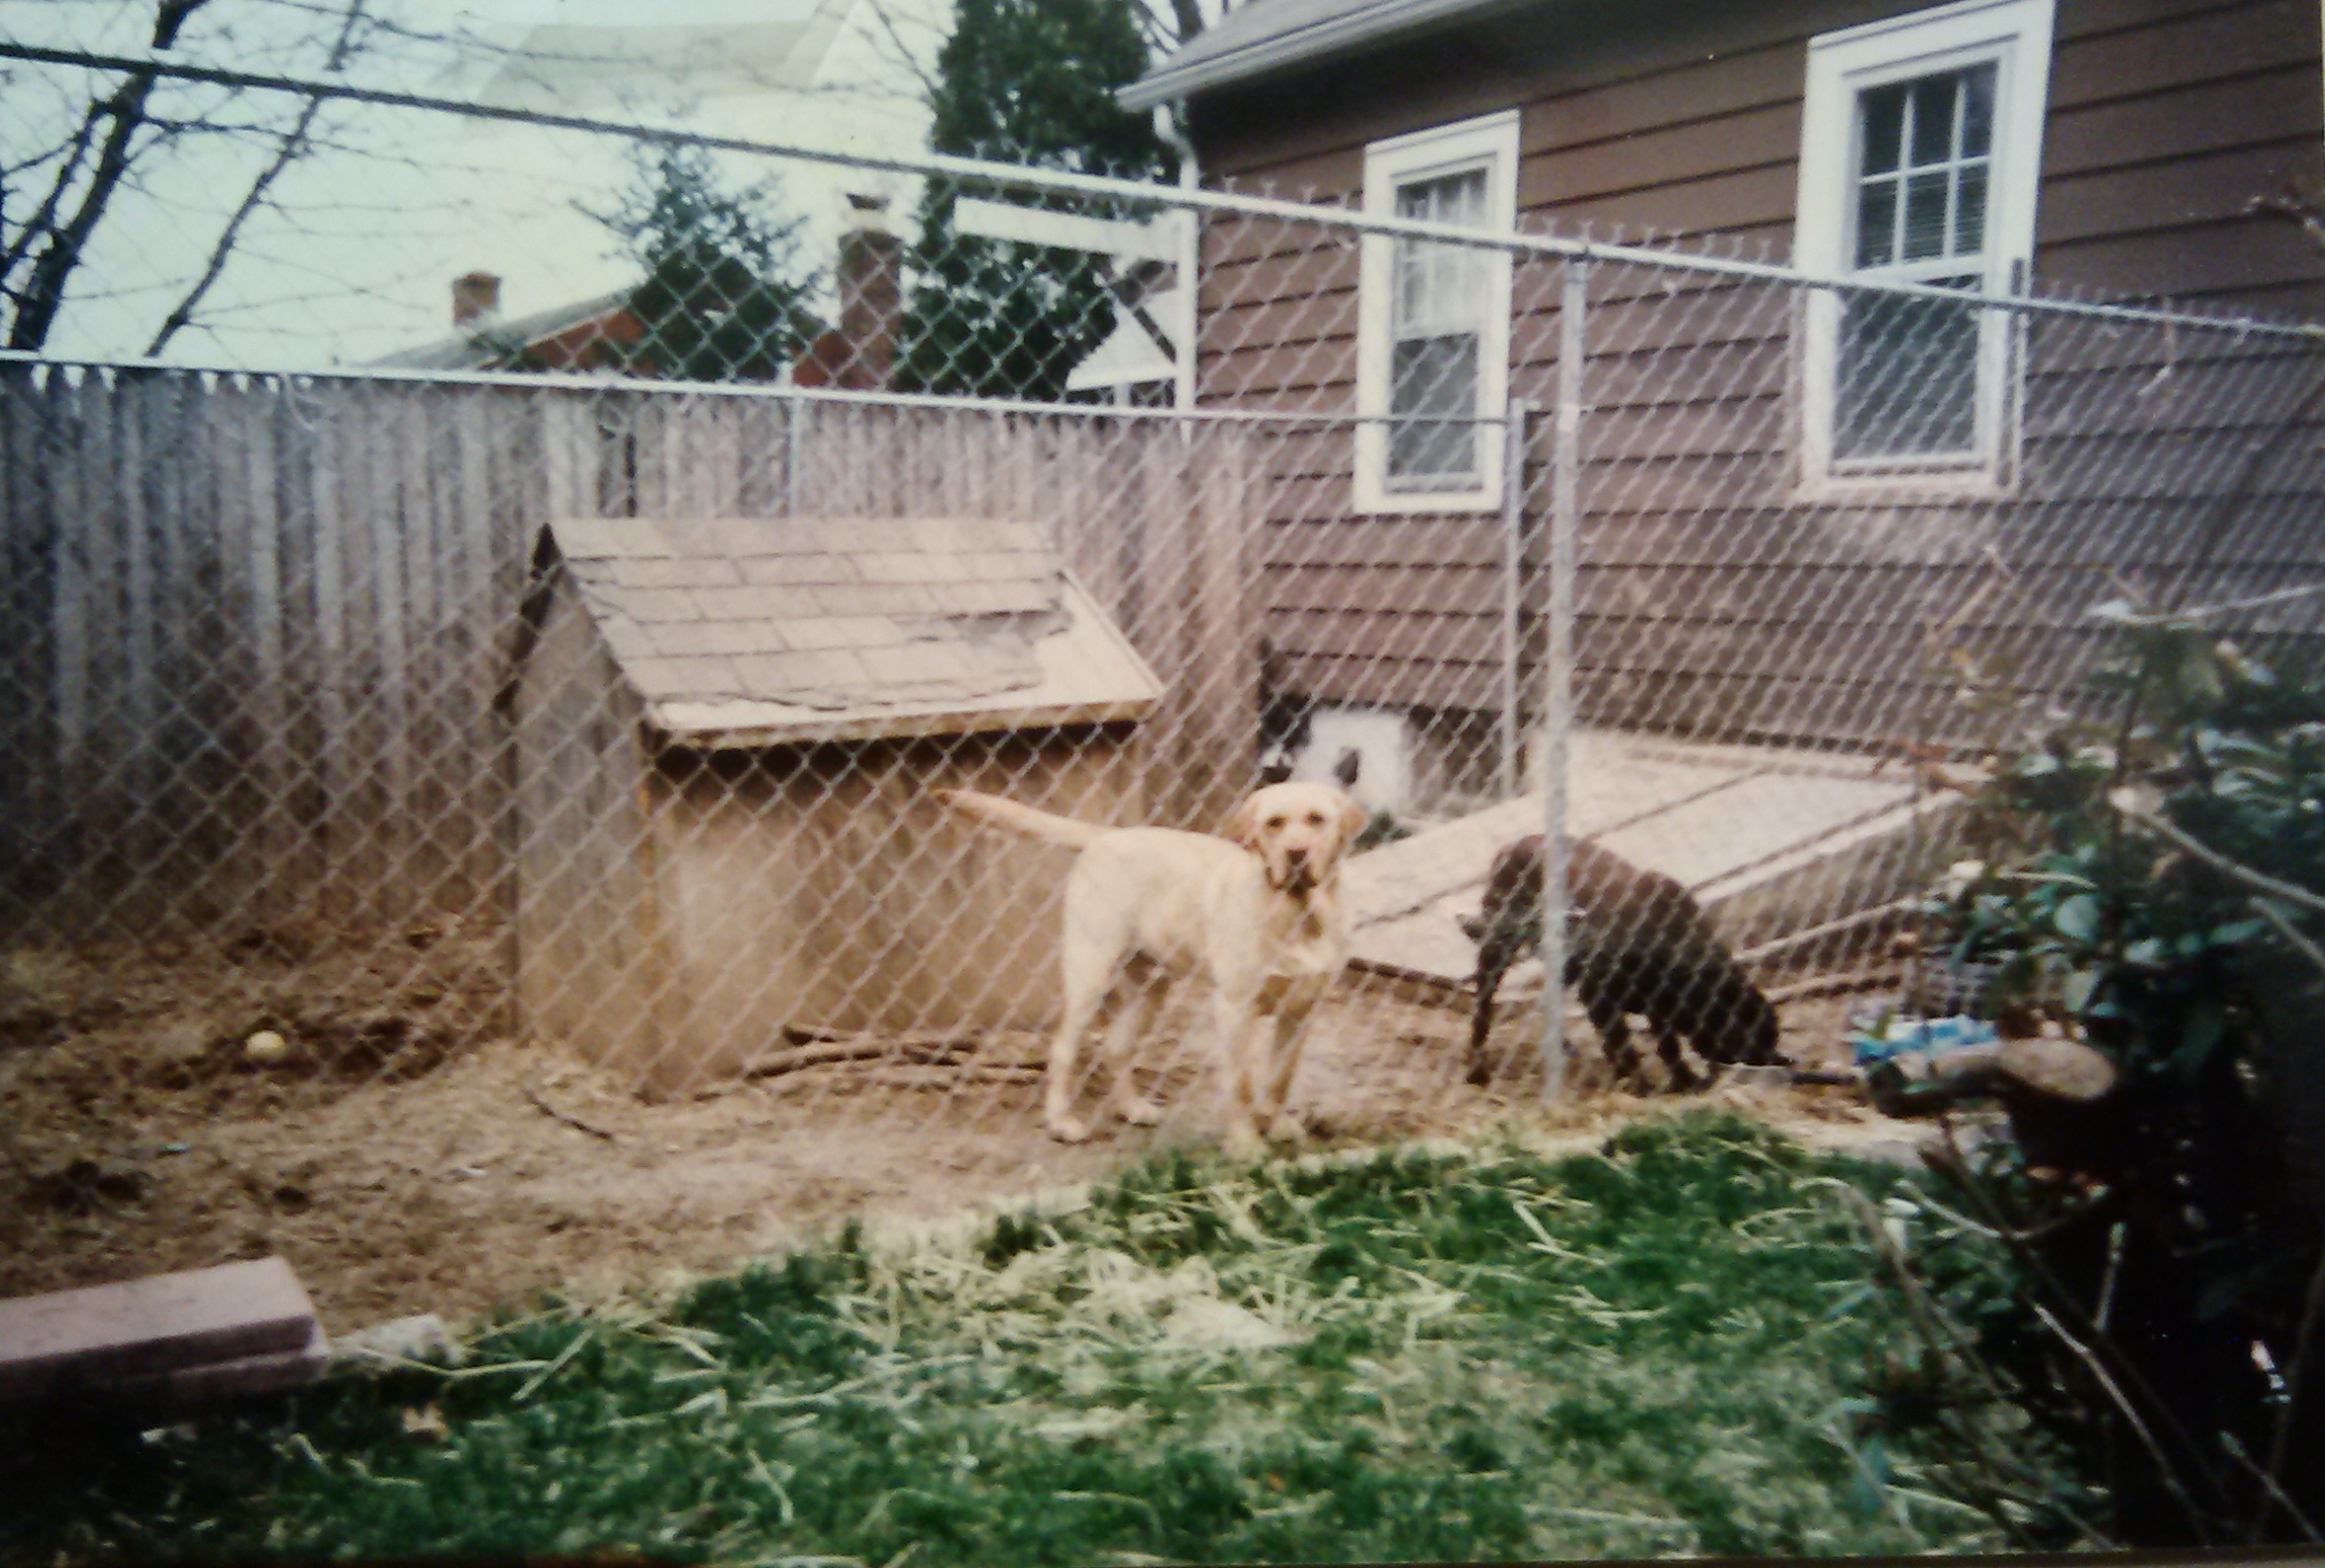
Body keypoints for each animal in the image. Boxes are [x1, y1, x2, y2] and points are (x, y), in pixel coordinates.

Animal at [925, 780, 1358, 1151]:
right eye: (1274, 823)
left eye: (1317, 819)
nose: (1297, 854)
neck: (1300, 915)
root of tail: (1104, 835)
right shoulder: (1235, 1007)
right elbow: (1241, 1084)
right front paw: (1246, 1143)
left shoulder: (1302, 1011)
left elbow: (1282, 1077)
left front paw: (1279, 1125)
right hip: (1090, 973)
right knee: (1064, 1048)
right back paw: (1061, 1122)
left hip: (1150, 992)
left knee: (1117, 1049)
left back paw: (1131, 1108)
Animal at [1460, 835, 1785, 1091]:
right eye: (1750, 1036)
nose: (1780, 1060)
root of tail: (1510, 846)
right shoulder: (1599, 997)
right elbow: (1622, 1043)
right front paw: (1640, 1084)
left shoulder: (1656, 1007)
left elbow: (1666, 1044)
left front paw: (1683, 1080)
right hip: (1496, 950)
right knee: (1483, 1004)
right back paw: (1477, 1068)